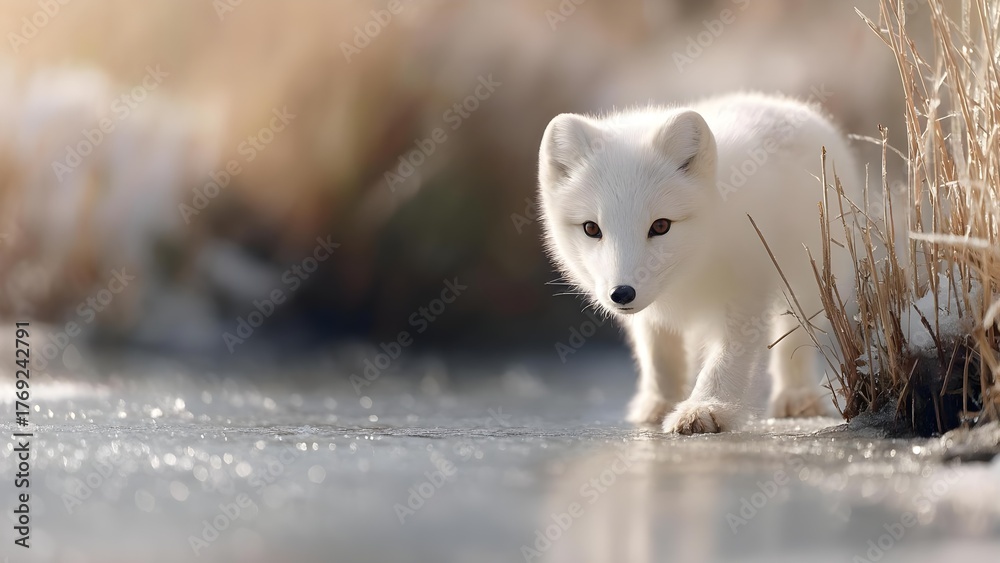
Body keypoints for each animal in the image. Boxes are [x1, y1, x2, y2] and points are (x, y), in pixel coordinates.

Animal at [537, 92, 861, 434]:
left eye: (661, 226)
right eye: (591, 228)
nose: (622, 294)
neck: (692, 271)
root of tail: (782, 102)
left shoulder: (746, 290)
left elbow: (725, 361)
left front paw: (704, 408)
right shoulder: (650, 315)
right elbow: (659, 358)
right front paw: (660, 405)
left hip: (806, 282)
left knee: (794, 342)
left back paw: (797, 398)